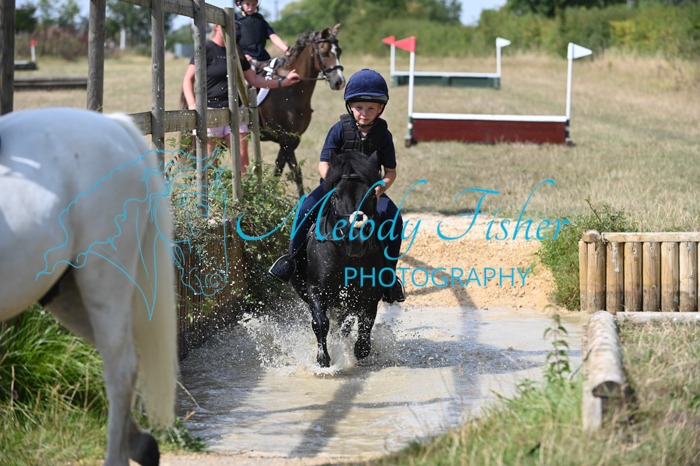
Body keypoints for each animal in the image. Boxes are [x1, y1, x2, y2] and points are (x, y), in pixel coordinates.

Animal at [260, 24, 345, 197]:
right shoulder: (286, 138)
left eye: (339, 51)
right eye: (324, 53)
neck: (290, 90)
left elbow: (278, 169)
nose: (339, 82)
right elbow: (296, 172)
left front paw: (269, 195)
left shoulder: (292, 138)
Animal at [290, 151, 386, 367]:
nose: (355, 242)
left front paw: (360, 350)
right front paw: (323, 359)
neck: (345, 256)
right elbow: (320, 322)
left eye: (372, 195)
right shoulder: (315, 289)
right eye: (335, 195)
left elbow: (366, 323)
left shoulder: (370, 294)